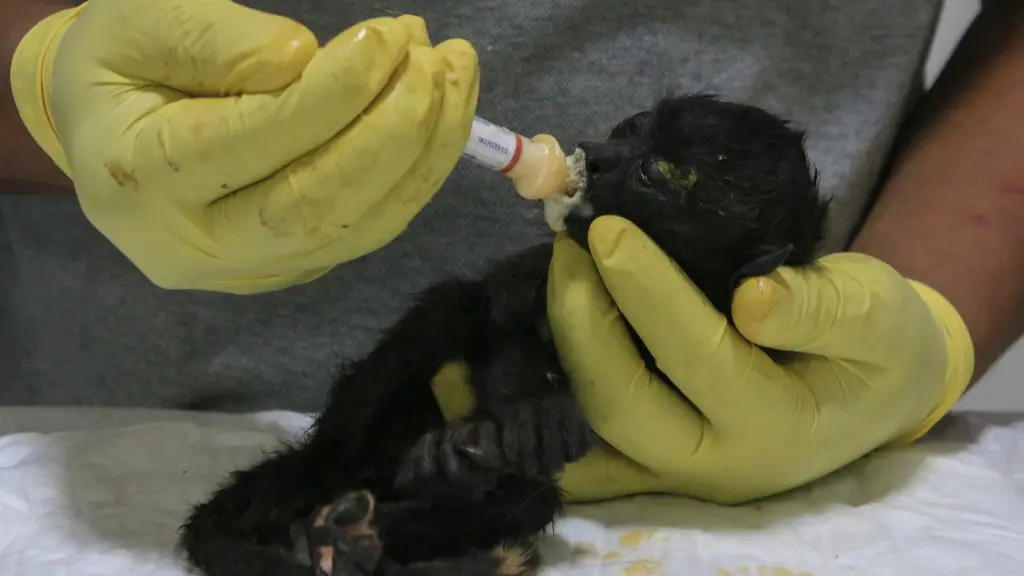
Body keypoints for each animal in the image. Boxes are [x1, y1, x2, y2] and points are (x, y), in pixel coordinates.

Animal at [177, 93, 831, 576]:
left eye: (653, 172)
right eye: (630, 127)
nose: (596, 153)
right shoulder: (547, 263)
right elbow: (498, 315)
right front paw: (537, 403)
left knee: (527, 498)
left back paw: (397, 511)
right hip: (352, 441)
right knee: (445, 310)